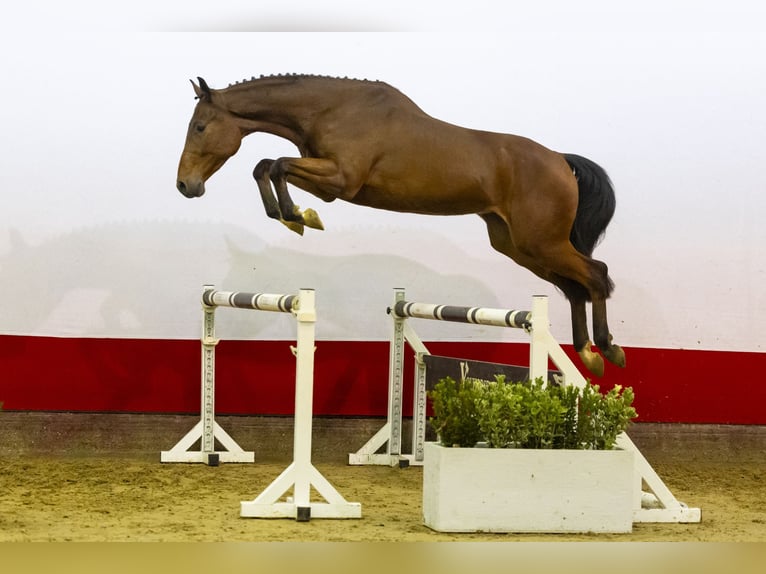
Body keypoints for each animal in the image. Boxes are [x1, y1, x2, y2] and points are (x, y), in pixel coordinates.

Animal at [177, 74, 628, 378]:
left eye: (200, 126)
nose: (185, 185)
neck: (329, 110)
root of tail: (560, 160)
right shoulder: (329, 182)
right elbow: (266, 166)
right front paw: (294, 217)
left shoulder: (340, 180)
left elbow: (277, 165)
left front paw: (298, 217)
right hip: (519, 246)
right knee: (577, 287)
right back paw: (588, 354)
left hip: (542, 242)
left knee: (596, 274)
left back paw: (608, 349)